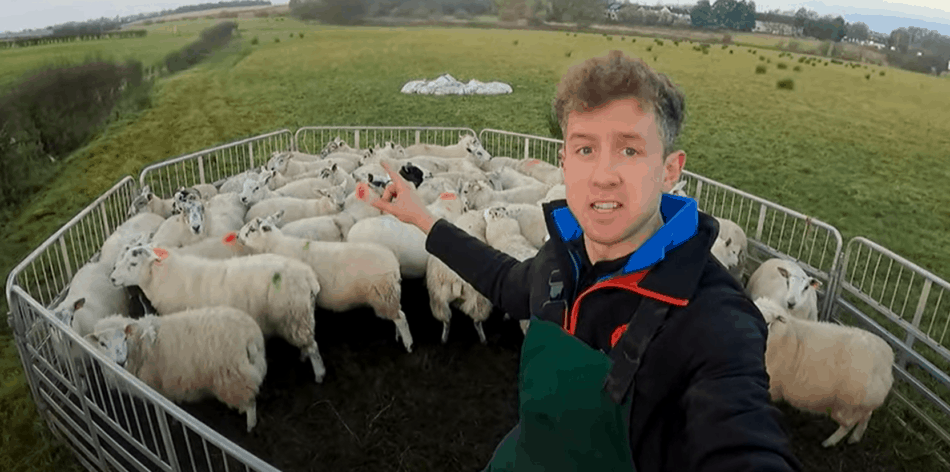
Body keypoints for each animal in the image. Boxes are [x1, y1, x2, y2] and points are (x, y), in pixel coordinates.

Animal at [85, 308, 268, 434]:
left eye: (124, 338)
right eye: (102, 343)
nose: (120, 362)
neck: (140, 346)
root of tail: (251, 337)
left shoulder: (159, 387)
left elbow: (168, 405)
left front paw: (173, 420)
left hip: (234, 378)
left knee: (250, 405)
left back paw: (249, 427)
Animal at [109, 243, 328, 384]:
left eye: (133, 264)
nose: (112, 278)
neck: (168, 278)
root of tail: (309, 277)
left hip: (294, 315)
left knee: (314, 346)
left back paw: (319, 374)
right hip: (302, 316)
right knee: (308, 341)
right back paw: (303, 356)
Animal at [237, 213, 412, 350]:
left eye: (252, 229)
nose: (237, 236)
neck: (274, 245)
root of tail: (393, 264)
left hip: (383, 295)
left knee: (401, 317)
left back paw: (408, 343)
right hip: (389, 295)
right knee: (399, 313)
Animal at [756, 296, 896, 448]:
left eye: (768, 322)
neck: (786, 336)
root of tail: (887, 358)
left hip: (847, 406)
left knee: (849, 424)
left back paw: (830, 442)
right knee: (867, 415)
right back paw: (855, 438)